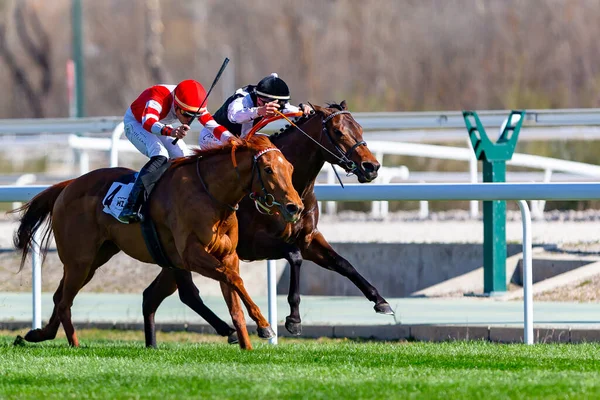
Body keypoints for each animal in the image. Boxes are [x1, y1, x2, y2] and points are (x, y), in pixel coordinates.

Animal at [12, 134, 304, 350]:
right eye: (268, 169)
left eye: (290, 168)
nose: (295, 207)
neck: (210, 194)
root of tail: (68, 184)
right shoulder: (191, 255)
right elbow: (234, 279)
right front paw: (264, 326)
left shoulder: (227, 255)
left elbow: (234, 295)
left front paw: (247, 344)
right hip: (80, 261)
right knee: (64, 302)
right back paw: (74, 344)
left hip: (93, 260)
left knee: (60, 296)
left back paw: (37, 334)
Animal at [141, 101, 394, 346]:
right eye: (338, 131)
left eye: (359, 128)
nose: (372, 167)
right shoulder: (255, 244)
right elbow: (294, 257)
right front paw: (294, 319)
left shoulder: (309, 238)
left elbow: (343, 264)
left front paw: (381, 301)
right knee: (185, 293)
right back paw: (230, 331)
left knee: (151, 296)